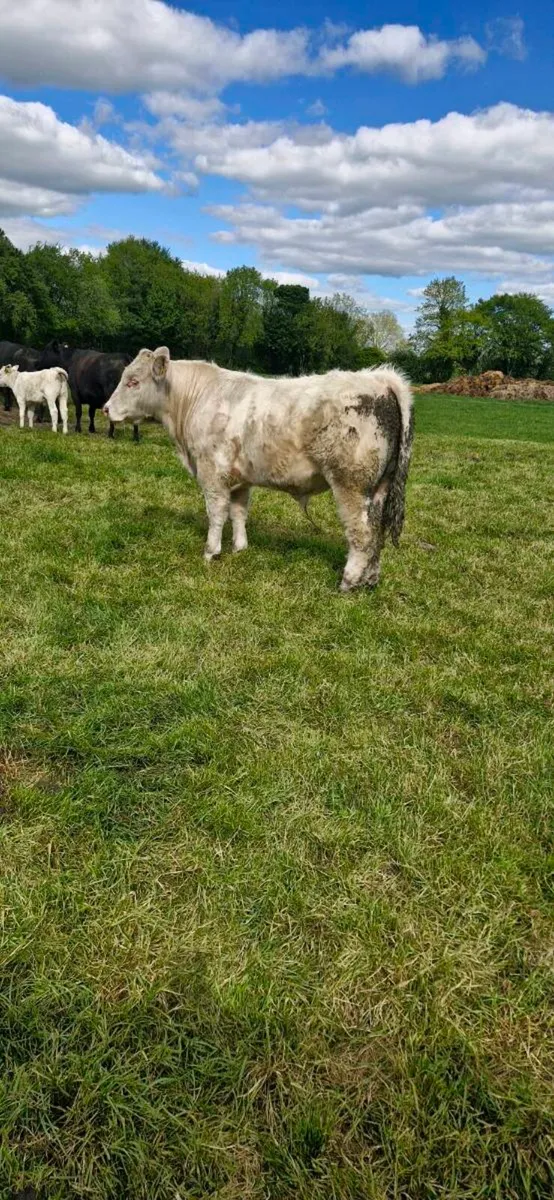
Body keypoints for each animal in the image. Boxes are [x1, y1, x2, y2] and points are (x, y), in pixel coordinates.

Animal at [105, 347, 414, 592]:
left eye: (133, 381)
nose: (106, 409)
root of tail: (379, 378)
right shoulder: (240, 478)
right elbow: (239, 512)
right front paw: (240, 548)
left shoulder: (212, 472)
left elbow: (216, 513)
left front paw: (210, 552)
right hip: (379, 488)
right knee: (377, 534)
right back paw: (370, 580)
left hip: (351, 485)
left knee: (361, 534)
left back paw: (348, 582)